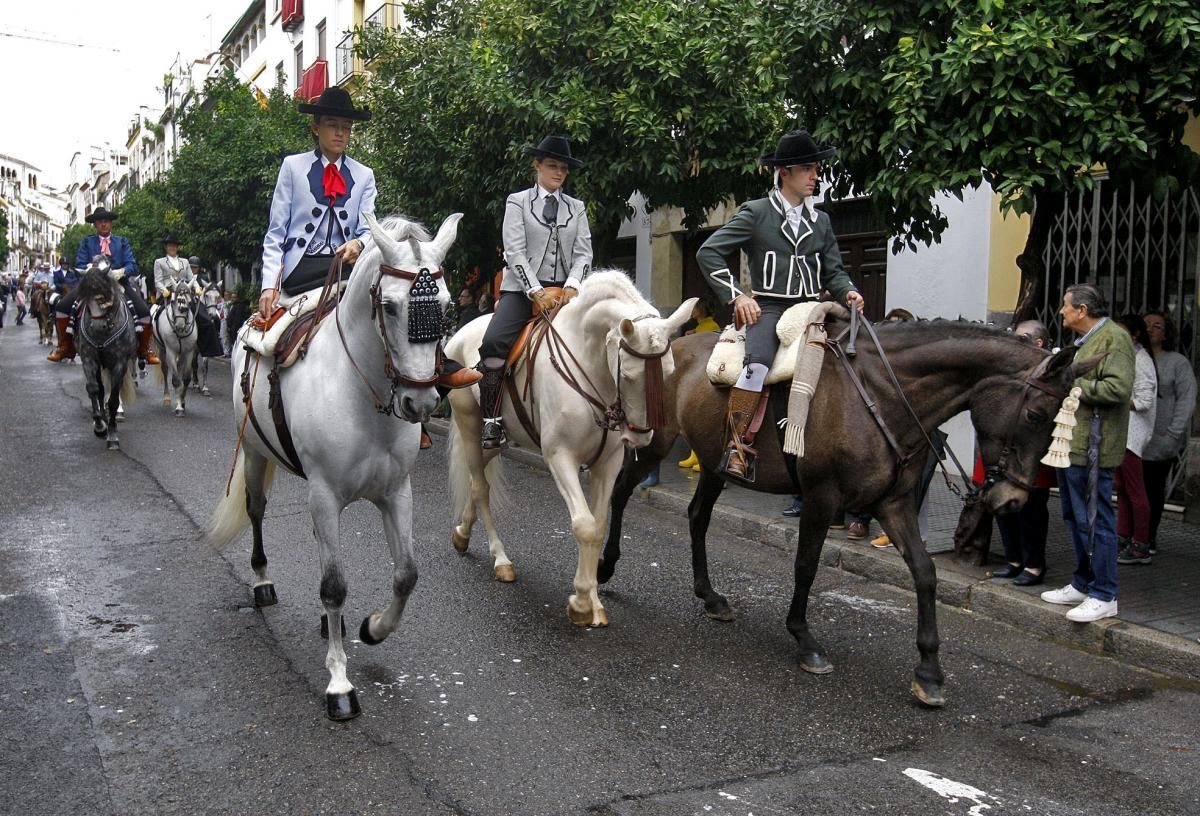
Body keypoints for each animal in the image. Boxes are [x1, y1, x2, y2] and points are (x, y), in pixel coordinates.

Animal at [73, 258, 136, 448]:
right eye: (85, 298)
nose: (97, 326)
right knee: (100, 389)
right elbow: (93, 389)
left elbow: (114, 399)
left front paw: (112, 435)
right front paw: (99, 425)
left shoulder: (119, 362)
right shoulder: (89, 358)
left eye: (104, 296)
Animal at [153, 285, 200, 415]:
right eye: (173, 302)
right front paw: (179, 407)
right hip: (162, 349)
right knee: (165, 369)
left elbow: (186, 378)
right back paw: (167, 398)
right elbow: (175, 380)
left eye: (189, 302)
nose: (179, 326)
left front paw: (182, 402)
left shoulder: (189, 352)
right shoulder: (171, 352)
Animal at [207, 212, 458, 720]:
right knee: (257, 510)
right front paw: (339, 683)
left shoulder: (396, 493)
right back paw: (262, 581)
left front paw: (372, 628)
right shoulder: (324, 495)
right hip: (255, 454)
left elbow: (406, 574)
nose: (422, 402)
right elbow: (335, 586)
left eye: (445, 305)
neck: (364, 395)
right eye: (389, 306)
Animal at [446, 273, 700, 624]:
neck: (592, 370)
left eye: (670, 373)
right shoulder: (560, 457)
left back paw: (462, 534)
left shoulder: (608, 464)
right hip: (470, 425)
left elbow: (599, 525)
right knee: (481, 488)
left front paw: (592, 601)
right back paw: (500, 559)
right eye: (628, 375)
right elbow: (584, 525)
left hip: (500, 439)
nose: (641, 438)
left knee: (476, 479)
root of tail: (460, 333)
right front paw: (580, 603)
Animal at [600, 319, 1099, 705]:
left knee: (697, 517)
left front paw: (929, 670)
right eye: (1036, 415)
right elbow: (806, 565)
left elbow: (925, 573)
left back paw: (710, 596)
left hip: (713, 463)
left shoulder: (894, 505)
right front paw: (805, 640)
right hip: (655, 442)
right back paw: (605, 569)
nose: (1012, 501)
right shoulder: (821, 497)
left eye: (1060, 422)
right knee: (621, 492)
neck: (884, 396)